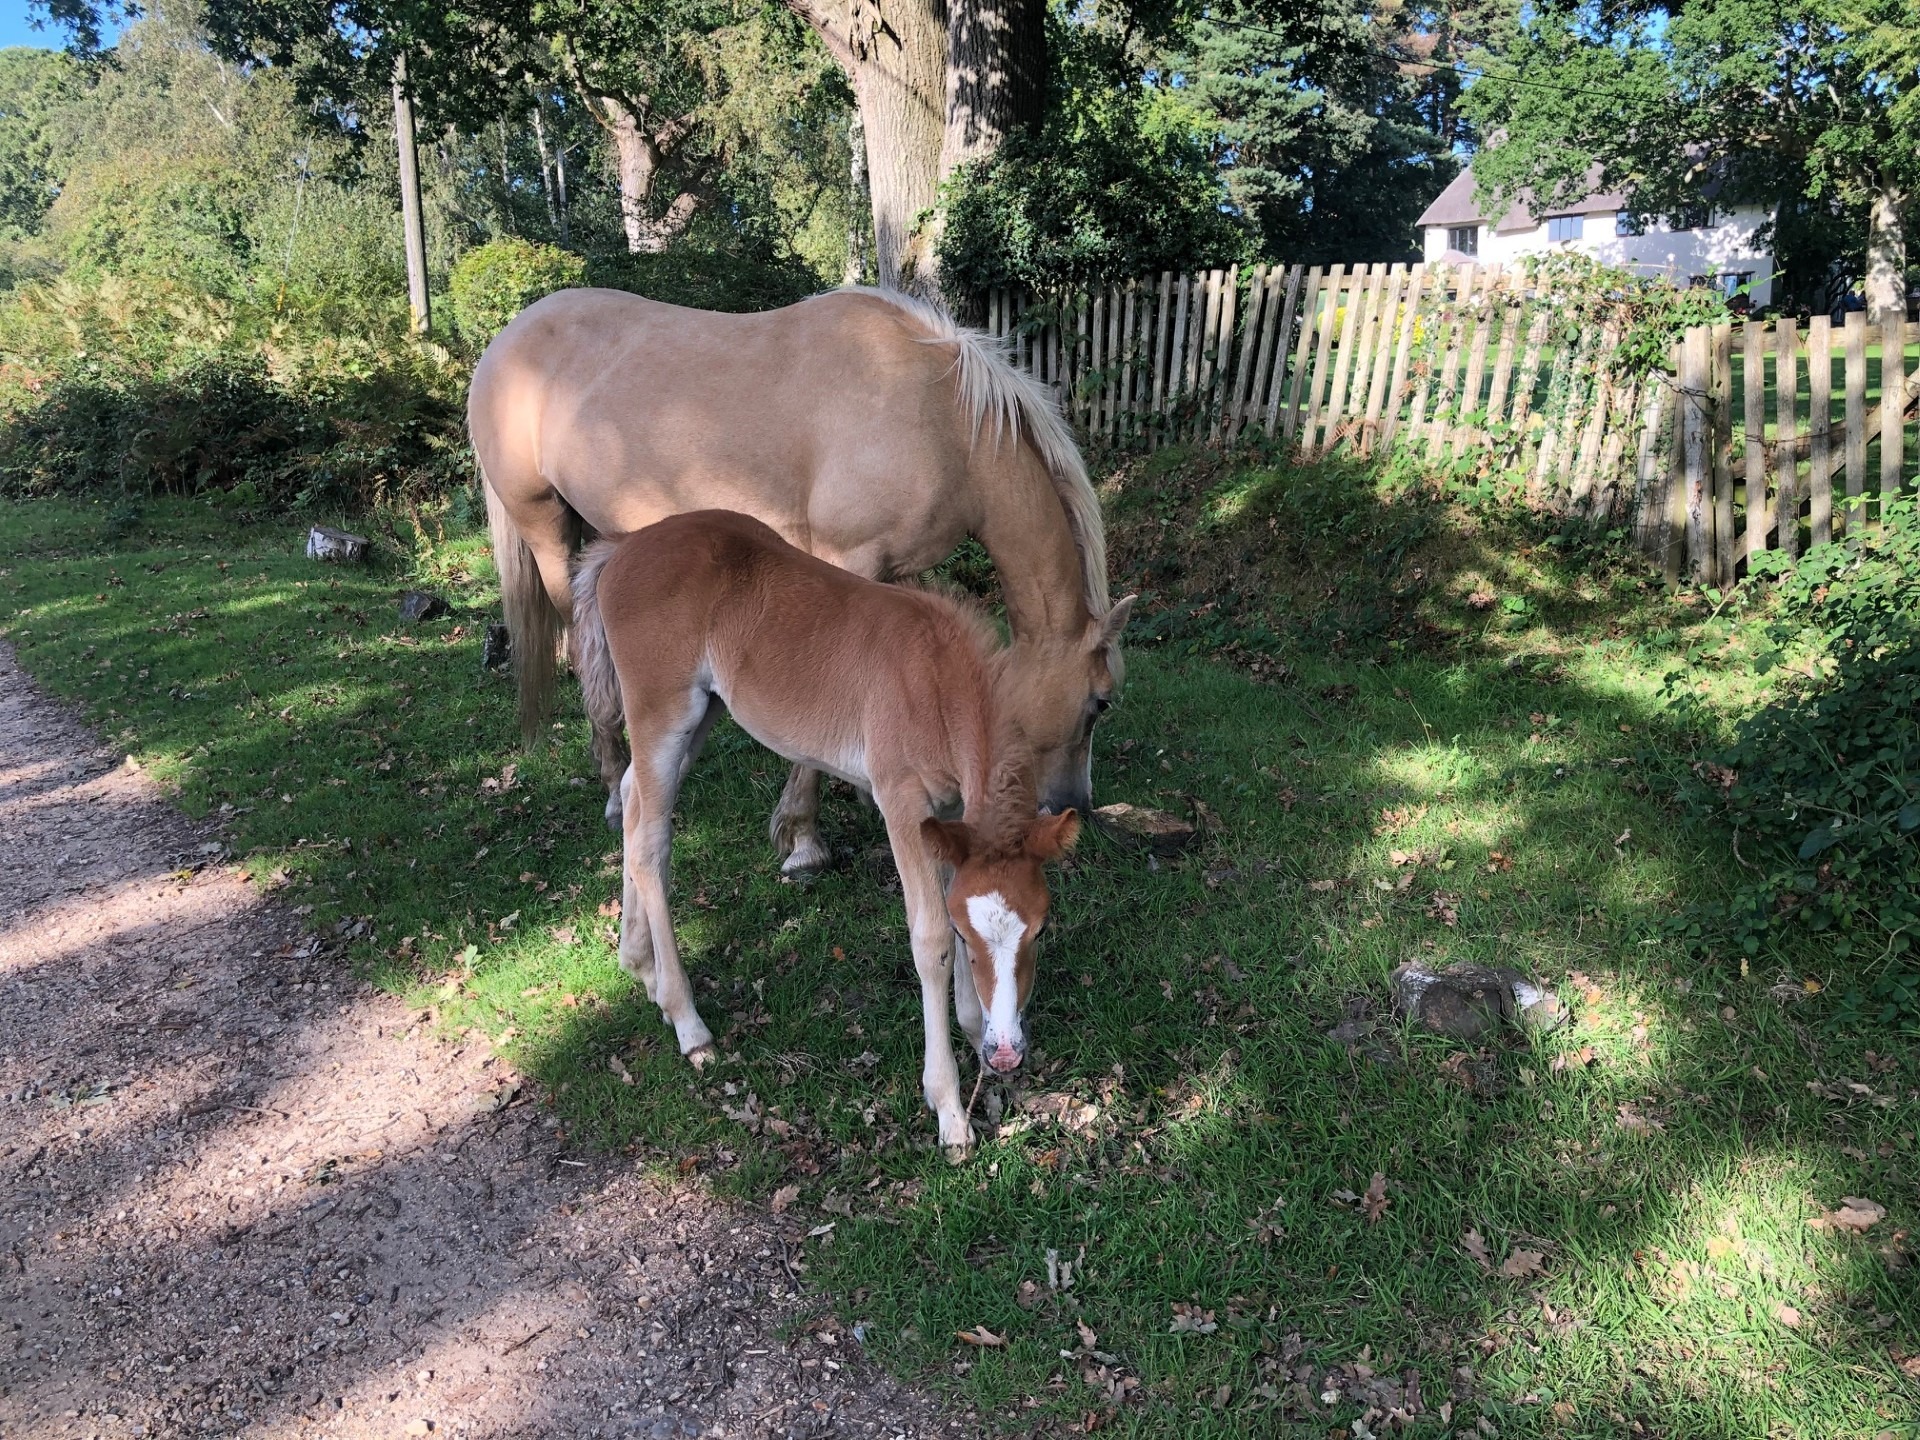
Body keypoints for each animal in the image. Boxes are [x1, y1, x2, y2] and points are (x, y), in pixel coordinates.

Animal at [470, 285, 1132, 874]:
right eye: (1099, 703)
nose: (1075, 808)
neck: (942, 419)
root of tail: (504, 342)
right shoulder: (849, 559)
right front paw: (802, 838)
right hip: (546, 529)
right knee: (584, 659)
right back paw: (612, 789)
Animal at [571, 510, 1080, 1156]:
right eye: (972, 935)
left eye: (1039, 928)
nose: (1010, 1052)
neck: (936, 683)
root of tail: (622, 547)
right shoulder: (901, 800)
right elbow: (929, 937)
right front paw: (949, 1107)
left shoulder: (950, 814)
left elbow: (949, 906)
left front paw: (978, 1041)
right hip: (660, 714)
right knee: (650, 844)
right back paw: (689, 1022)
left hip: (700, 715)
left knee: (634, 804)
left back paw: (640, 966)